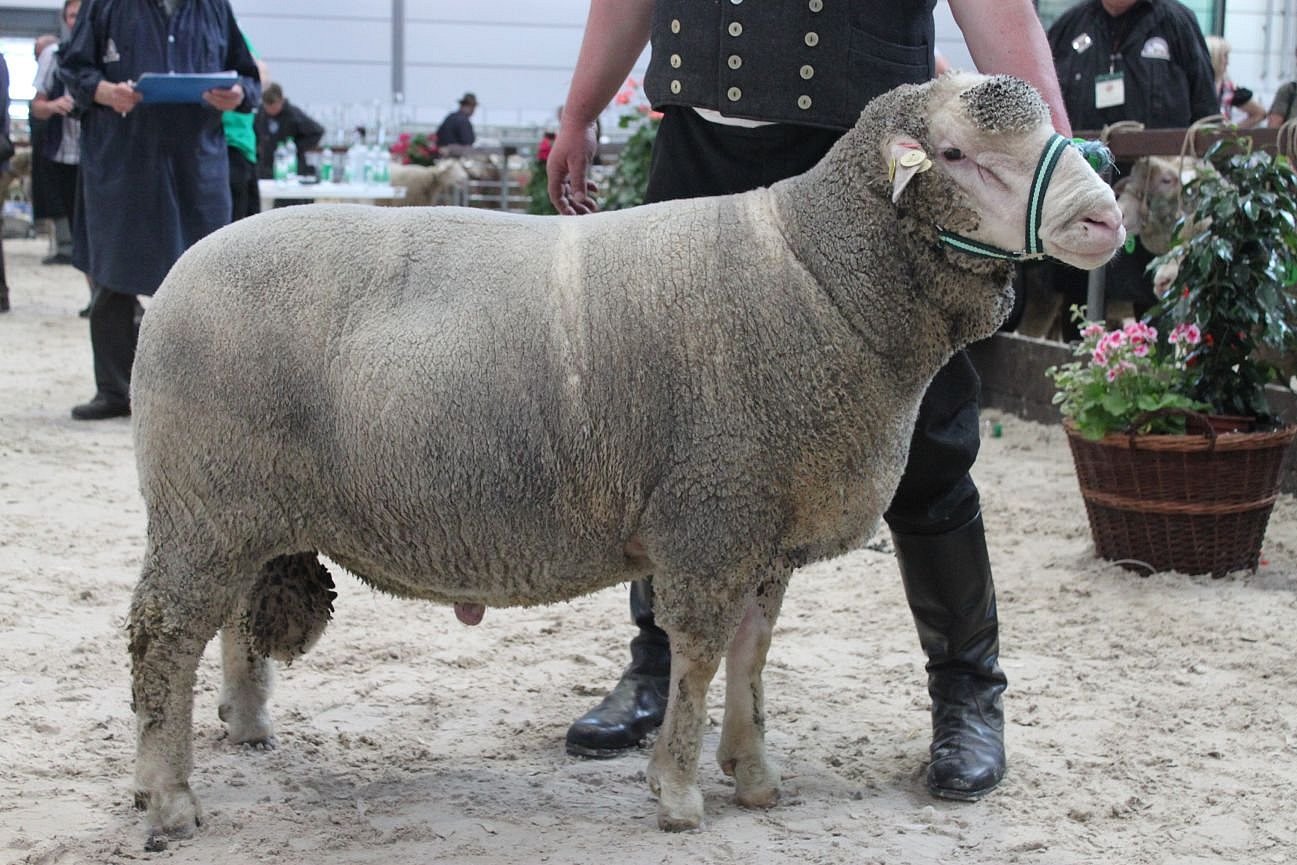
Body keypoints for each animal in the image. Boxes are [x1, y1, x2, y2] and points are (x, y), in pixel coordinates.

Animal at [126, 72, 1130, 845]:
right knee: (161, 637)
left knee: (223, 622)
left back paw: (241, 726)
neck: (821, 276)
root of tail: (172, 278)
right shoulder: (711, 515)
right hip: (203, 499)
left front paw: (752, 774)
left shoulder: (760, 527)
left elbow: (751, 653)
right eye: (955, 154)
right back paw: (167, 796)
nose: (1101, 218)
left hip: (237, 505)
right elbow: (697, 655)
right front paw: (679, 790)